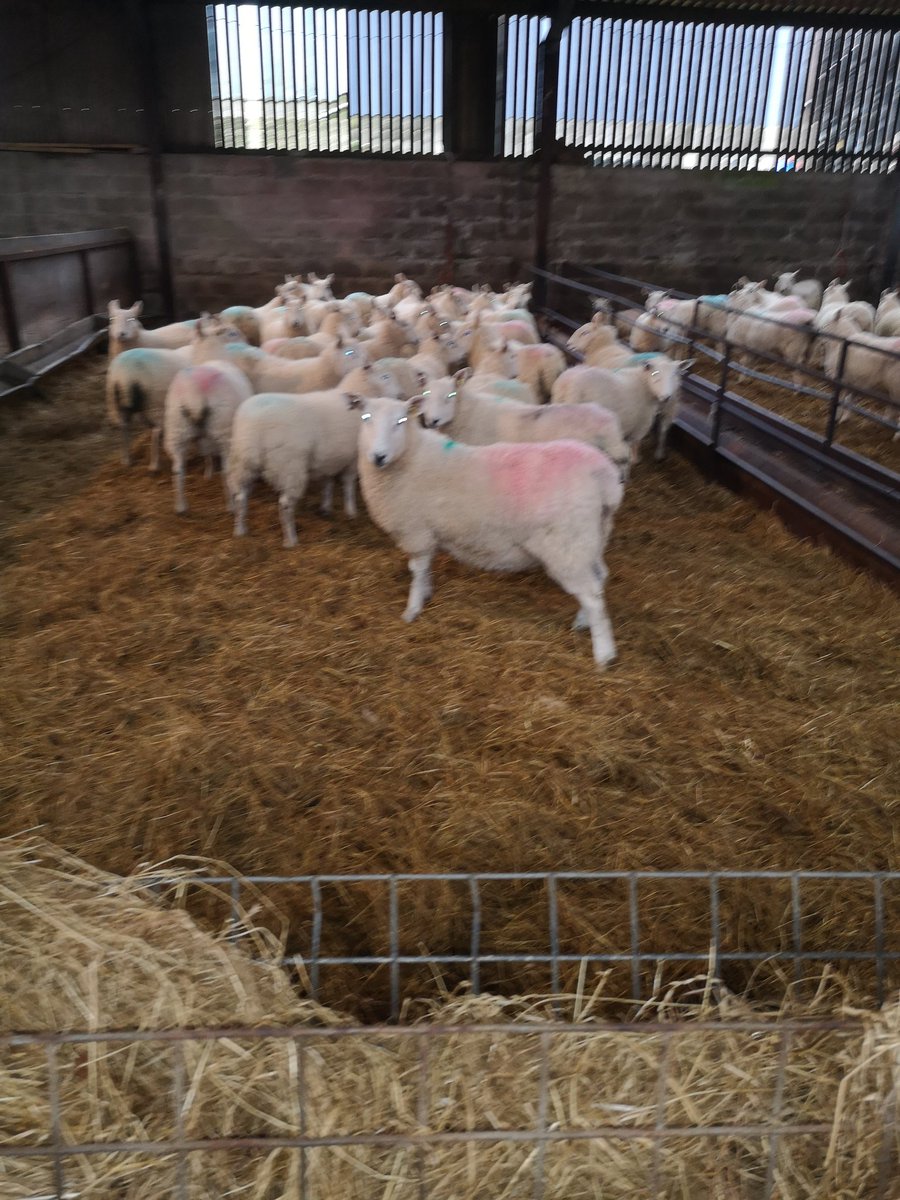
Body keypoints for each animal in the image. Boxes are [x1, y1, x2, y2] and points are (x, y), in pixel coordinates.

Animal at [106, 316, 242, 469]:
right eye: (232, 333)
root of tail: (123, 374)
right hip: (153, 403)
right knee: (155, 430)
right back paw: (154, 463)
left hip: (119, 401)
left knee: (125, 427)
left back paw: (127, 459)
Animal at [163, 361, 253, 514]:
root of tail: (194, 393)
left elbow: (207, 453)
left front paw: (208, 473)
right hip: (223, 430)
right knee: (226, 471)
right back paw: (231, 506)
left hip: (177, 429)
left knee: (178, 470)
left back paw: (181, 507)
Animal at [227, 368, 406, 547]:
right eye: (385, 376)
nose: (400, 394)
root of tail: (256, 424)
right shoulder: (353, 458)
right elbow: (348, 485)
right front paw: (351, 511)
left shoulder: (329, 458)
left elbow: (327, 483)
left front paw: (326, 507)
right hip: (289, 467)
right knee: (285, 504)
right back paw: (291, 540)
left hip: (244, 463)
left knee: (240, 497)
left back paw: (240, 531)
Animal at [355, 395, 623, 668]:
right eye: (365, 418)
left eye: (401, 421)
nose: (378, 456)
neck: (411, 457)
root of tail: (604, 476)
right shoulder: (428, 533)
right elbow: (426, 568)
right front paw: (426, 594)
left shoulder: (416, 531)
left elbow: (417, 571)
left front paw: (412, 609)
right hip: (592, 537)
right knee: (600, 577)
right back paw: (583, 622)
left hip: (566, 545)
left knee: (592, 595)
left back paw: (604, 654)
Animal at [551, 356, 692, 463]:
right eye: (654, 374)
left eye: (675, 374)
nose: (666, 397)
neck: (644, 385)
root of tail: (568, 384)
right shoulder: (641, 425)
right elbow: (635, 443)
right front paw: (635, 459)